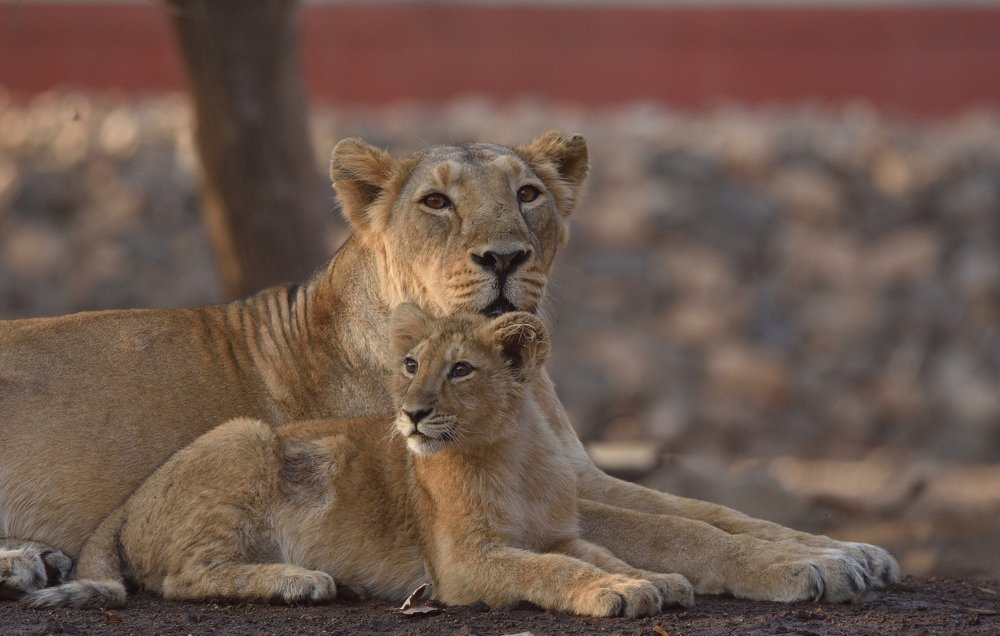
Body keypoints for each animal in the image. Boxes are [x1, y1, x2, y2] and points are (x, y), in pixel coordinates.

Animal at [24, 307, 694, 616]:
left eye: (460, 369)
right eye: (410, 365)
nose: (412, 414)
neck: (512, 454)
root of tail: (129, 500)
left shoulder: (558, 532)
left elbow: (598, 554)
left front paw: (656, 579)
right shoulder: (463, 564)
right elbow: (550, 571)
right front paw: (617, 592)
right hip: (247, 436)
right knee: (184, 577)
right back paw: (299, 580)